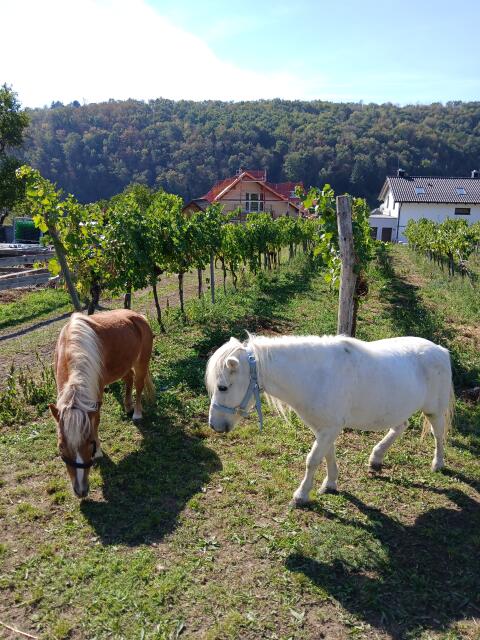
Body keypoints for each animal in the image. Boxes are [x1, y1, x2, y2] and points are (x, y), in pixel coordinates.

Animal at [49, 309, 154, 498]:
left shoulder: (95, 398)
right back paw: (128, 406)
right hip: (124, 366)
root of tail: (137, 315)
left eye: (90, 443)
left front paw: (98, 452)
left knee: (138, 384)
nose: (81, 490)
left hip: (141, 363)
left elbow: (95, 422)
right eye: (61, 446)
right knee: (129, 379)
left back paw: (136, 413)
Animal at [206, 334, 454, 507]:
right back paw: (376, 457)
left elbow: (313, 459)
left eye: (223, 387)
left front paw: (301, 495)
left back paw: (437, 464)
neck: (315, 376)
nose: (214, 425)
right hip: (397, 409)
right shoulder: (325, 429)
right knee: (400, 426)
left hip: (433, 410)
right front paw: (331, 484)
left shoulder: (329, 429)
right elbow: (327, 455)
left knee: (438, 434)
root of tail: (441, 350)